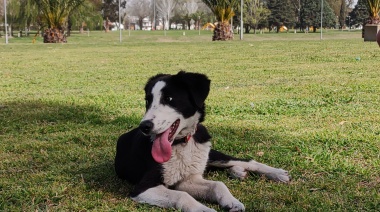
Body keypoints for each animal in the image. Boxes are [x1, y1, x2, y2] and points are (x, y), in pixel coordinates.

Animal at [114, 71, 290, 212]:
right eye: (148, 101)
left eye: (169, 98)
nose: (144, 126)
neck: (182, 143)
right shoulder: (145, 187)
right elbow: (183, 195)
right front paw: (204, 209)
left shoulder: (188, 178)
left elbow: (218, 184)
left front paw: (231, 201)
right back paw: (238, 172)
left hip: (212, 154)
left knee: (246, 161)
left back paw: (277, 173)